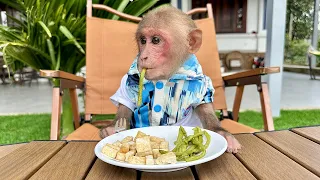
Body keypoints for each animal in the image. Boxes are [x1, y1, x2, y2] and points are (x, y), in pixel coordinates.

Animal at [101, 5, 241, 153]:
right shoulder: (129, 80)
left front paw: (222, 133)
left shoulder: (200, 82)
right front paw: (112, 129)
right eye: (143, 41)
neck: (165, 76)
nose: (143, 56)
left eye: (156, 40)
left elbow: (204, 106)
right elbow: (125, 107)